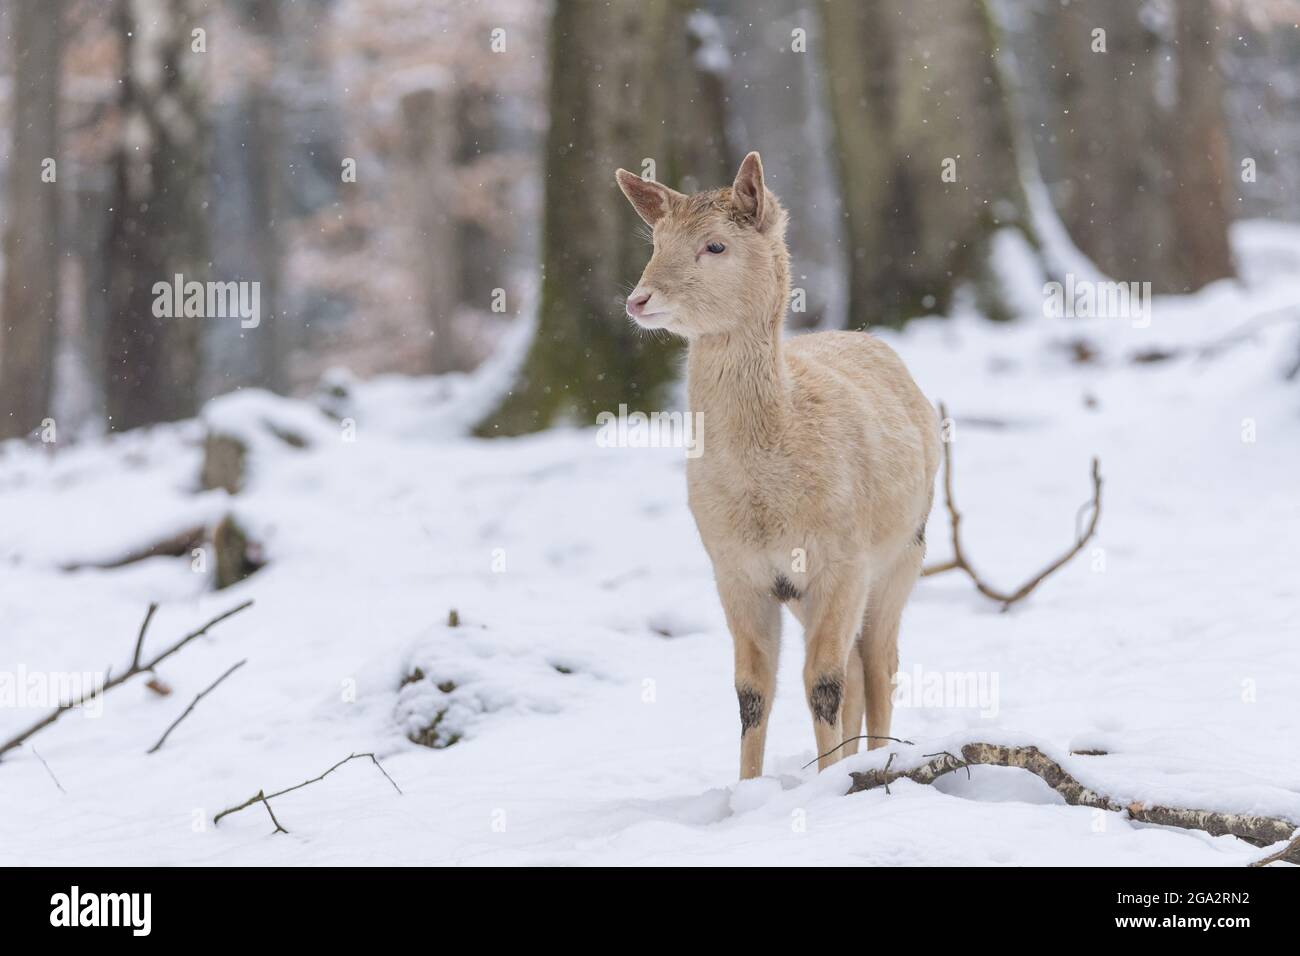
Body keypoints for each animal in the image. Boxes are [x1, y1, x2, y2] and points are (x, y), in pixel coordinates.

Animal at [615, 152, 940, 779]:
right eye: (656, 240)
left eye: (715, 245)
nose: (638, 300)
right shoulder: (734, 570)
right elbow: (752, 689)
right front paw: (748, 786)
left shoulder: (843, 561)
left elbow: (823, 682)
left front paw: (829, 781)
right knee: (859, 668)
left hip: (905, 551)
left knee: (879, 663)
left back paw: (875, 759)